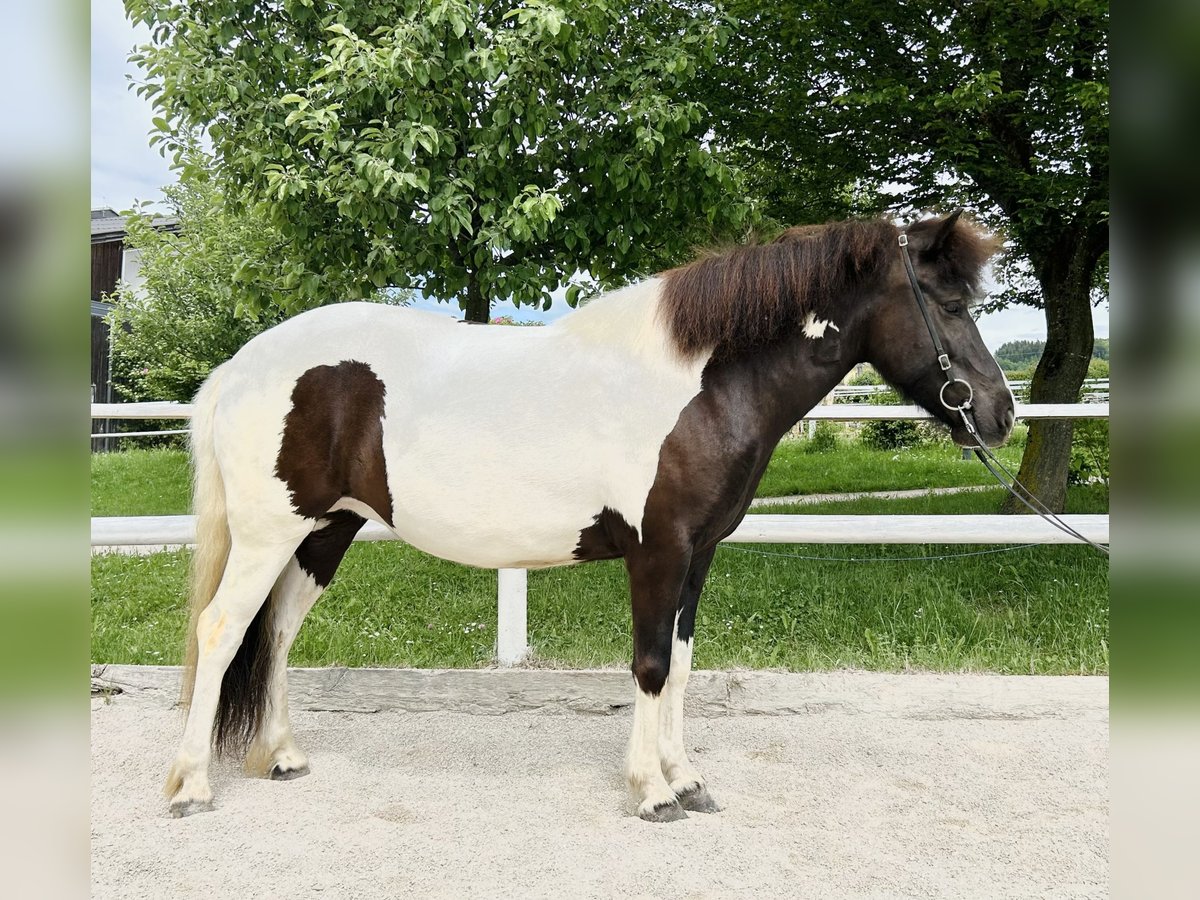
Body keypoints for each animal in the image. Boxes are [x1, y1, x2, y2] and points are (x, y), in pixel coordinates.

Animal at [164, 211, 1017, 825]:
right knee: (222, 630)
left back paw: (280, 756)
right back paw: (192, 787)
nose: (1000, 414)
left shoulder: (699, 556)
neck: (702, 386)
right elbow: (650, 666)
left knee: (275, 633)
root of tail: (243, 364)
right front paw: (652, 793)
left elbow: (682, 664)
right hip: (271, 534)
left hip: (324, 533)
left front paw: (688, 779)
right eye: (948, 303)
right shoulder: (658, 551)